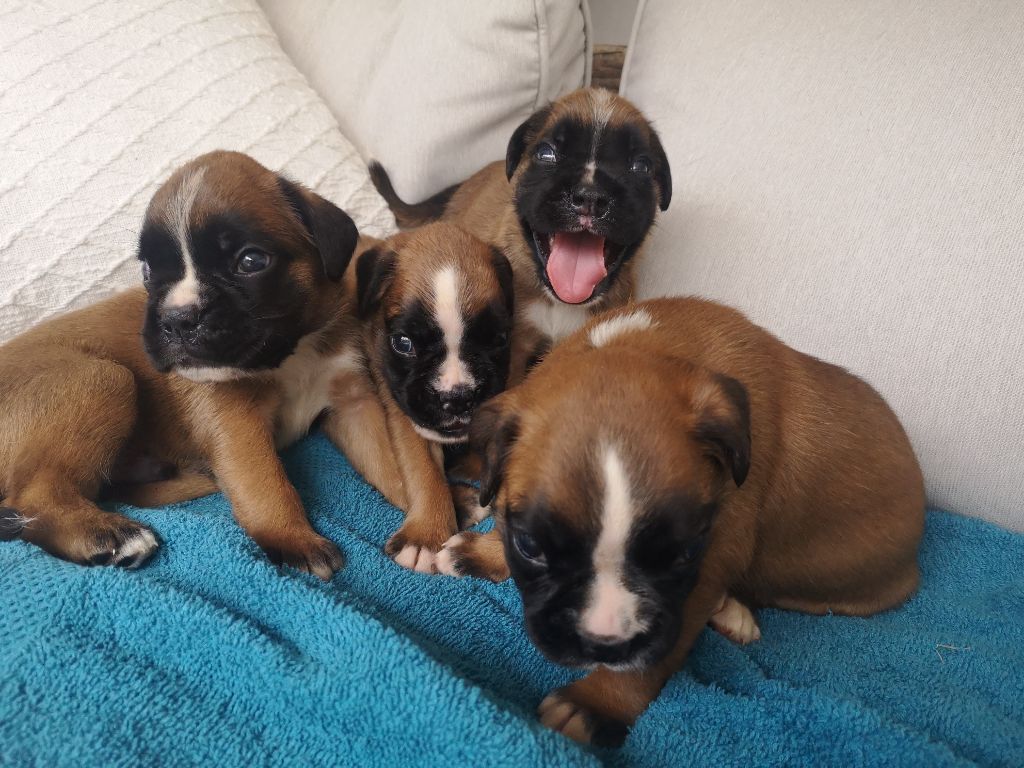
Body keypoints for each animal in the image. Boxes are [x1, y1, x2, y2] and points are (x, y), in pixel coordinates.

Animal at [352, 222, 516, 573]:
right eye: (403, 343)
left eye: (499, 339)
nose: (459, 397)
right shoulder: (406, 409)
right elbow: (423, 469)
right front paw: (426, 535)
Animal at [440, 299, 929, 745]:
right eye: (530, 546)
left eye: (684, 553)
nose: (604, 645)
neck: (636, 346)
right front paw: (483, 549)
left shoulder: (705, 570)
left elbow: (651, 659)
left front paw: (595, 704)